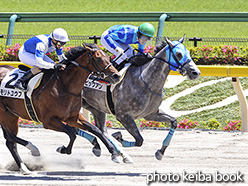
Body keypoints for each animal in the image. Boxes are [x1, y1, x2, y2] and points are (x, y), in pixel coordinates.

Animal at [0, 42, 121, 174]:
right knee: (9, 137)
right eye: (98, 59)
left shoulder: (72, 118)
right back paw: (32, 149)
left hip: (12, 114)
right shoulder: (48, 121)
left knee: (10, 141)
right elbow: (71, 133)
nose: (117, 75)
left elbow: (96, 130)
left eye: (108, 57)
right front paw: (63, 149)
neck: (64, 86)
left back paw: (24, 167)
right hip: (4, 113)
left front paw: (113, 154)